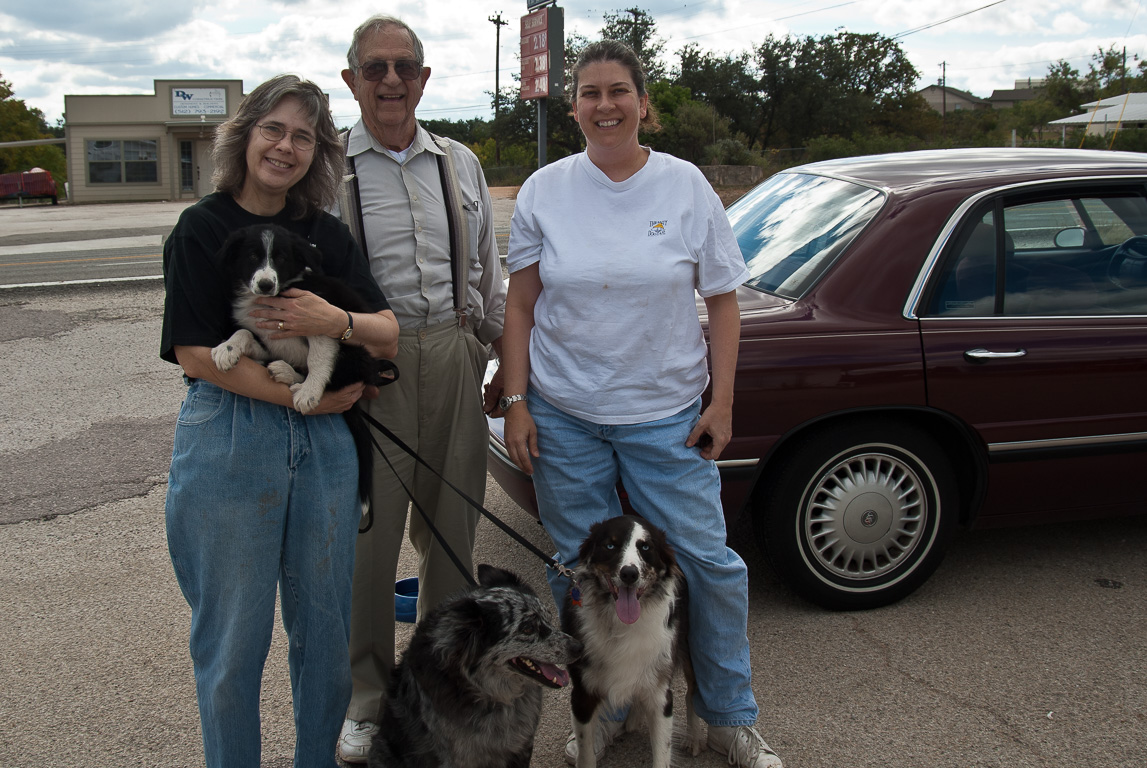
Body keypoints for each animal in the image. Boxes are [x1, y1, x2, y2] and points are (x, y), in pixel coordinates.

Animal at [211, 224, 394, 511]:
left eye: (281, 258)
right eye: (252, 257)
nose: (265, 284)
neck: (278, 294)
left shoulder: (320, 321)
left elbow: (317, 358)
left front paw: (309, 393)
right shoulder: (267, 340)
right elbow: (244, 332)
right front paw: (226, 349)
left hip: (357, 354)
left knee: (337, 375)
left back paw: (294, 379)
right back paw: (284, 372)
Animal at [562, 518, 701, 768]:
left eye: (645, 547)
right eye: (610, 546)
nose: (629, 573)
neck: (621, 626)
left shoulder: (660, 695)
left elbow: (662, 754)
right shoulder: (582, 694)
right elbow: (585, 753)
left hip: (687, 646)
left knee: (692, 691)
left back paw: (693, 737)